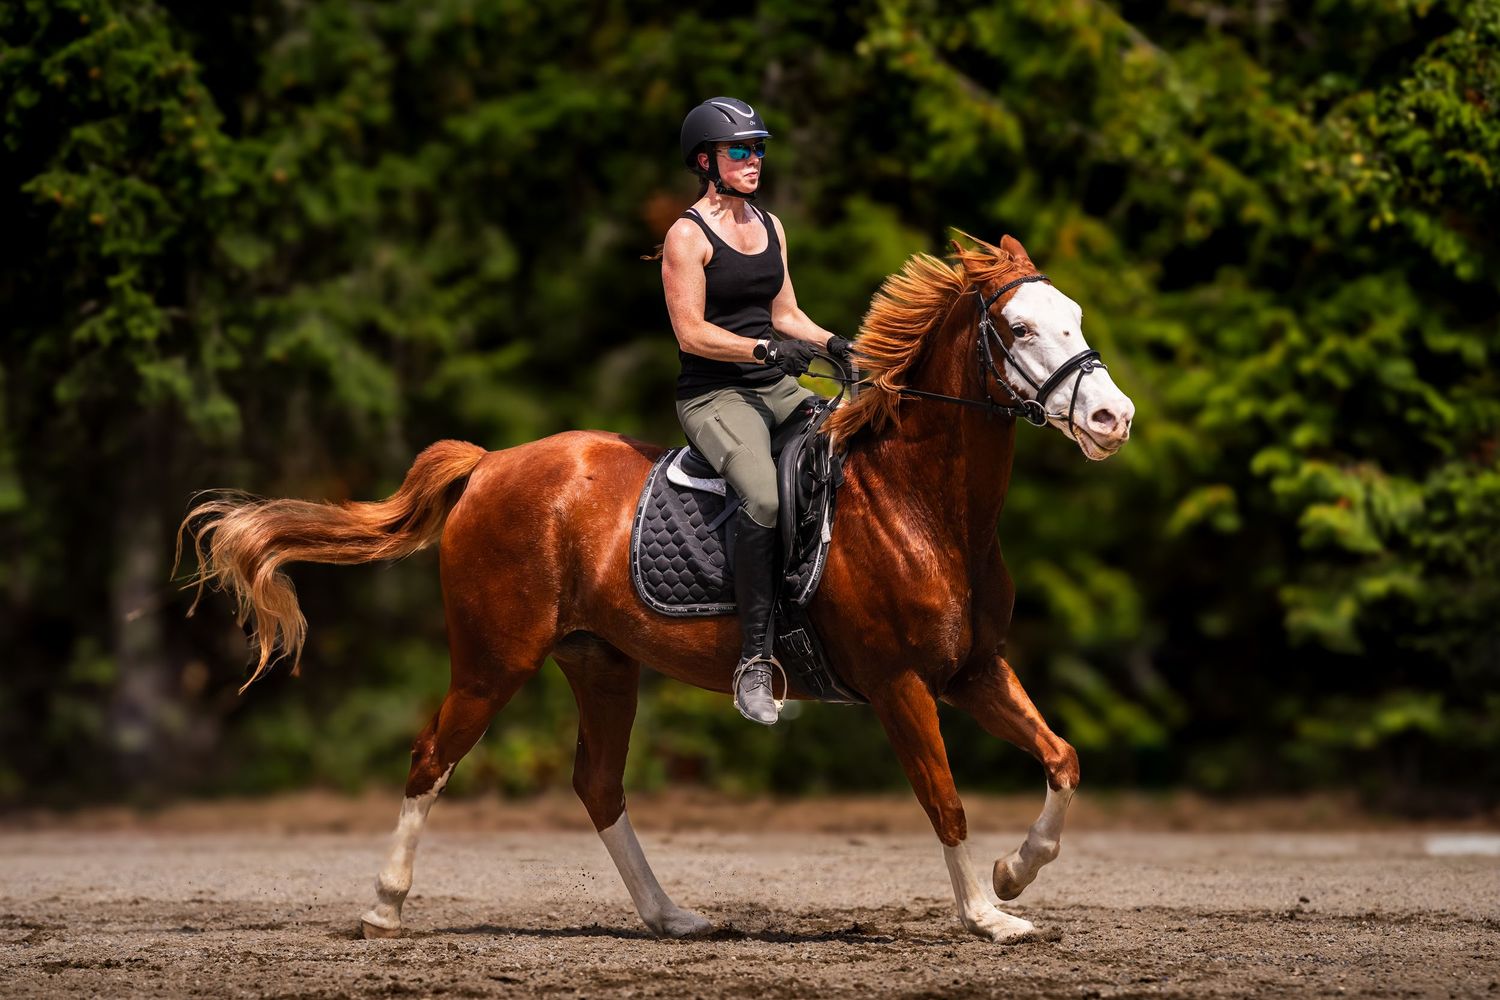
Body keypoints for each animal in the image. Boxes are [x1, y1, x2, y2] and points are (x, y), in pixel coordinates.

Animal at [177, 233, 1135, 943]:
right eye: (1019, 330)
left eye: (1075, 317)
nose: (1111, 419)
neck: (924, 502)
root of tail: (490, 464)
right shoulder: (900, 684)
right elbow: (944, 798)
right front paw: (987, 915)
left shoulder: (973, 670)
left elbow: (1063, 759)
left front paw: (1014, 877)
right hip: (494, 660)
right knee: (431, 759)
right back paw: (384, 906)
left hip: (601, 662)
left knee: (598, 783)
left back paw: (671, 916)